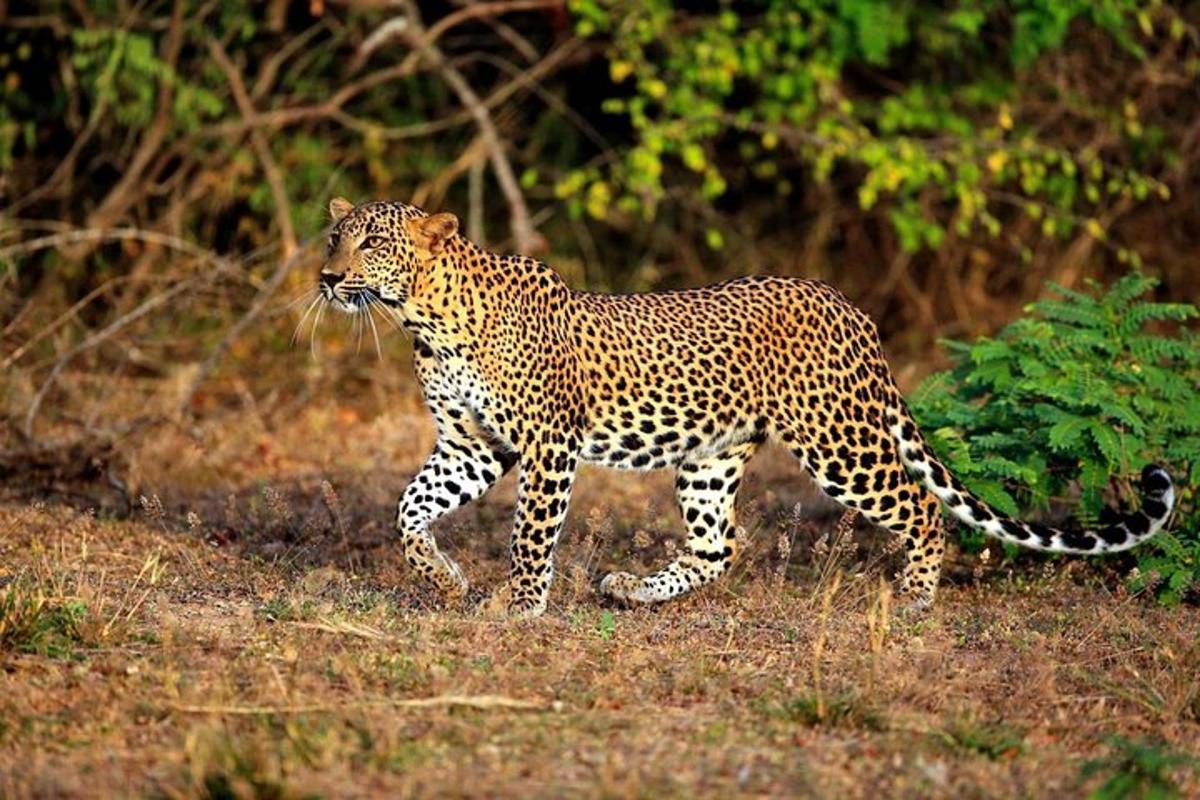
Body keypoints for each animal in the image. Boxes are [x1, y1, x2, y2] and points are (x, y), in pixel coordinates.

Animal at [314, 195, 1176, 618]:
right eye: (332, 237)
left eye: (372, 243)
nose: (325, 278)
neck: (425, 319)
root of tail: (848, 307)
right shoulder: (472, 445)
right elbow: (408, 510)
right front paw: (444, 581)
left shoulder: (547, 445)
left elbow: (530, 535)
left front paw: (517, 606)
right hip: (710, 455)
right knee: (719, 546)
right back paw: (634, 591)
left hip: (839, 442)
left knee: (921, 508)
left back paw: (916, 598)